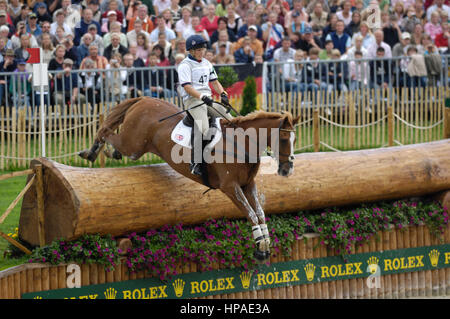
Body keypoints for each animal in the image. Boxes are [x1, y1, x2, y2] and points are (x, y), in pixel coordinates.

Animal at [79, 97, 300, 260]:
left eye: (295, 139)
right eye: (283, 139)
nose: (287, 170)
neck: (241, 143)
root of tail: (144, 99)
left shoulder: (248, 184)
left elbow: (260, 212)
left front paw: (265, 244)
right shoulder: (230, 187)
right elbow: (252, 213)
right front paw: (260, 247)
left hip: (134, 146)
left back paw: (107, 152)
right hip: (132, 144)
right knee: (106, 131)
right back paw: (91, 152)